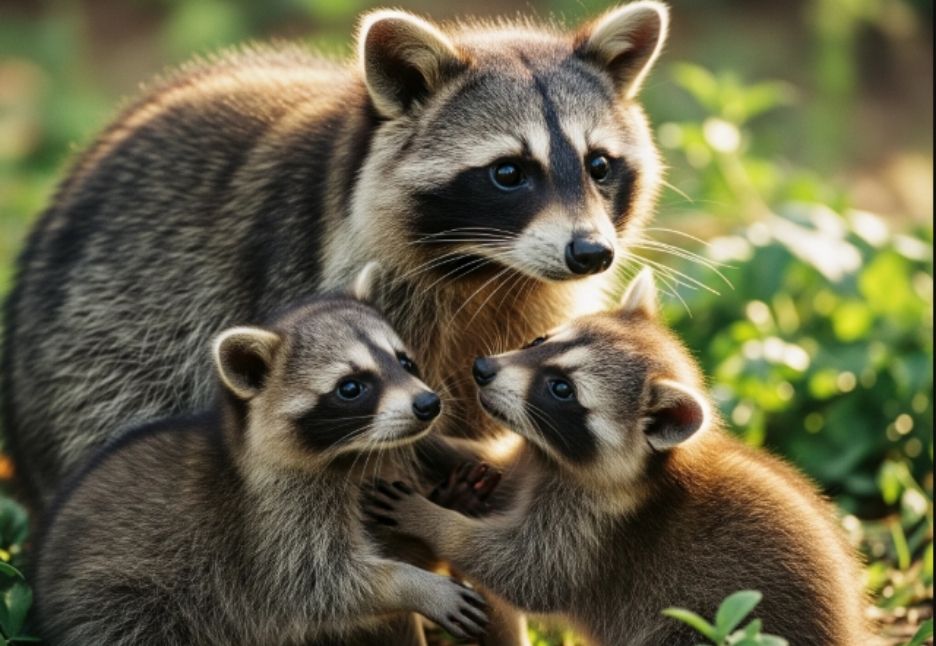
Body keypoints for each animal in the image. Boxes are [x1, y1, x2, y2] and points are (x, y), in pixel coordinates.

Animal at [2, 2, 670, 508]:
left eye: (599, 165)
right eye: (509, 172)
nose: (591, 253)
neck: (490, 270)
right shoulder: (309, 285)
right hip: (93, 354)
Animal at [35, 269, 489, 645]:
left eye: (405, 362)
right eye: (351, 388)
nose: (428, 405)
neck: (354, 450)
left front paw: (444, 507)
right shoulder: (272, 519)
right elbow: (319, 583)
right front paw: (414, 583)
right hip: (122, 600)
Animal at [364, 269, 871, 646]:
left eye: (561, 388)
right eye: (540, 340)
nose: (482, 369)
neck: (550, 459)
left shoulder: (594, 530)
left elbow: (526, 573)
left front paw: (431, 518)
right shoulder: (532, 464)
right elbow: (496, 465)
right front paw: (431, 446)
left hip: (711, 624)